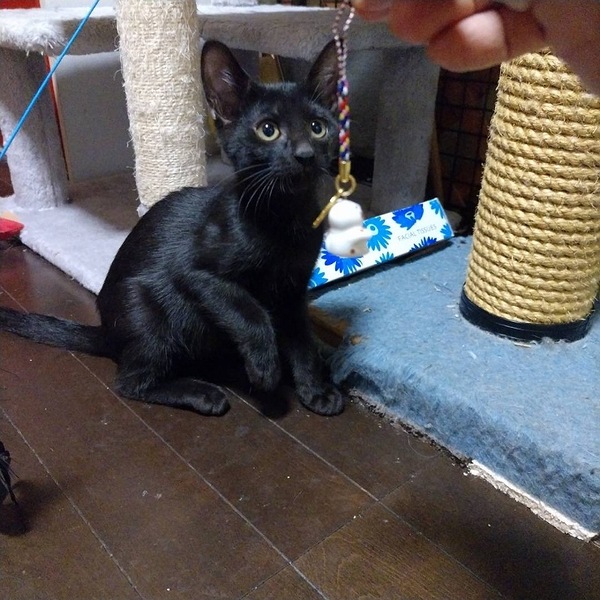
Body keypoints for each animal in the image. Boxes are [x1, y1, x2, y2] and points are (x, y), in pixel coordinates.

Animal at [0, 40, 344, 417]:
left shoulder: (293, 290)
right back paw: (203, 393)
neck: (284, 217)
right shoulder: (195, 272)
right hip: (149, 312)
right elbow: (247, 309)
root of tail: (109, 331)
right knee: (131, 380)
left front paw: (315, 389)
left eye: (317, 127)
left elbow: (302, 340)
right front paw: (266, 368)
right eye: (267, 130)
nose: (305, 154)